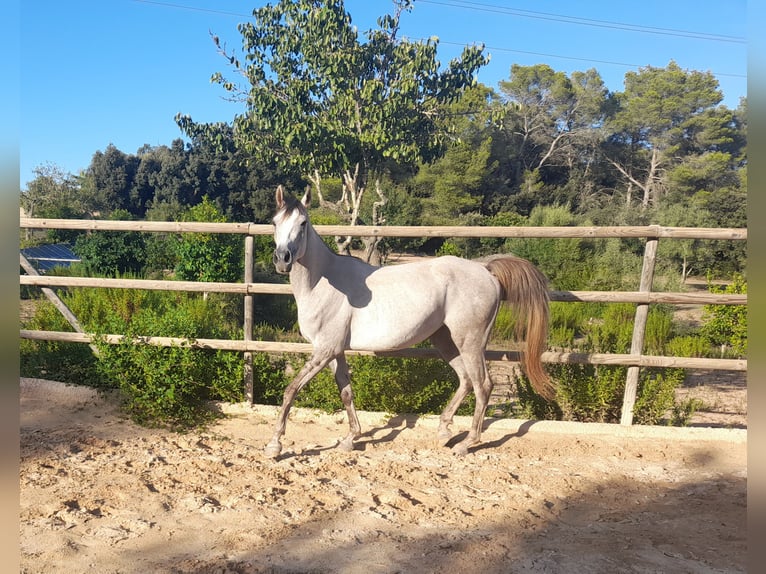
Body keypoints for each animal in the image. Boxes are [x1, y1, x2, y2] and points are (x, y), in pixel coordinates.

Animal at [265, 185, 554, 458]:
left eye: (303, 223)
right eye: (275, 222)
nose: (282, 259)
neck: (323, 284)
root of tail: (486, 270)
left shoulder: (324, 350)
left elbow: (291, 390)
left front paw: (274, 445)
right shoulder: (335, 351)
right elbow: (346, 392)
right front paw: (350, 439)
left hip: (470, 342)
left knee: (483, 385)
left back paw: (466, 444)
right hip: (445, 340)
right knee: (465, 380)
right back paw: (444, 432)